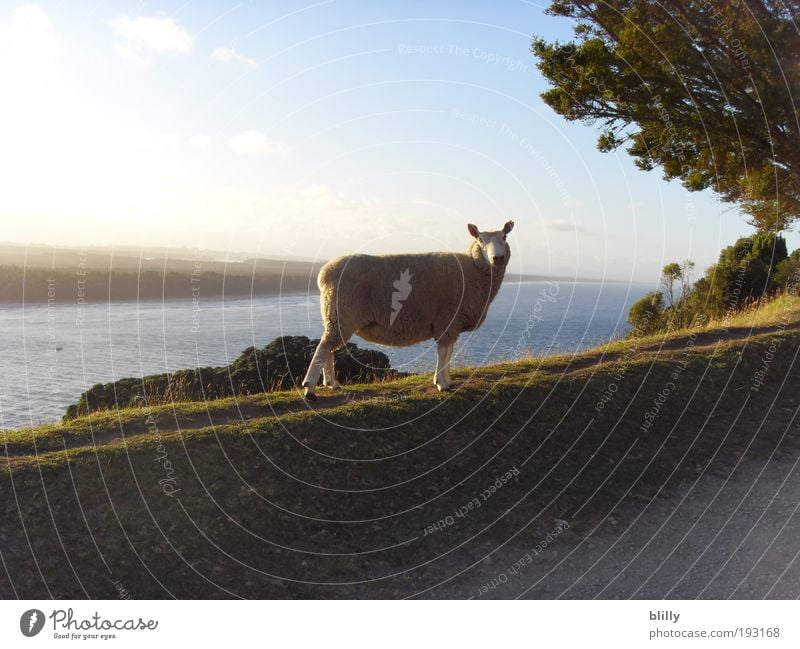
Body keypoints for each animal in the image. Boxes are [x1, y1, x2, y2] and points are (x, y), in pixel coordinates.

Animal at [298, 220, 512, 398]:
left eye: (504, 237)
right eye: (481, 239)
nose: (498, 258)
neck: (474, 270)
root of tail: (324, 273)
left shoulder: (452, 321)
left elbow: (449, 352)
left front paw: (448, 381)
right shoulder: (447, 317)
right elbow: (443, 352)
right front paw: (442, 383)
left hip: (334, 314)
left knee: (328, 347)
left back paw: (331, 383)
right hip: (343, 313)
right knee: (323, 347)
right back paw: (310, 388)